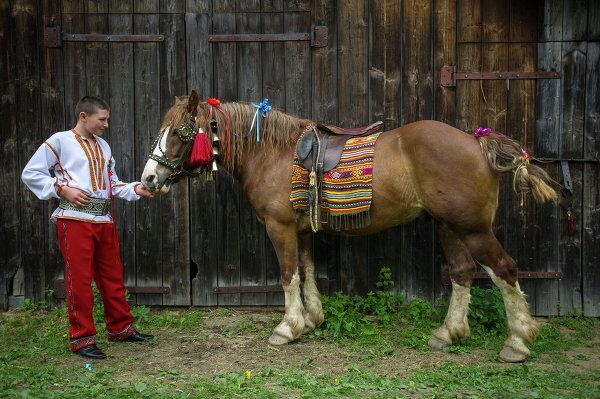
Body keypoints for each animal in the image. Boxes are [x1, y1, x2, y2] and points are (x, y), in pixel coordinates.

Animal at [141, 90, 556, 362]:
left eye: (179, 132)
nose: (148, 179)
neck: (273, 152)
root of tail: (477, 142)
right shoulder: (301, 230)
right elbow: (307, 271)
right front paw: (311, 321)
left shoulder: (280, 227)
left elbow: (288, 275)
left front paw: (287, 328)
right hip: (448, 225)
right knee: (462, 272)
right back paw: (448, 333)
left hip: (472, 229)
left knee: (505, 271)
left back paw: (517, 342)